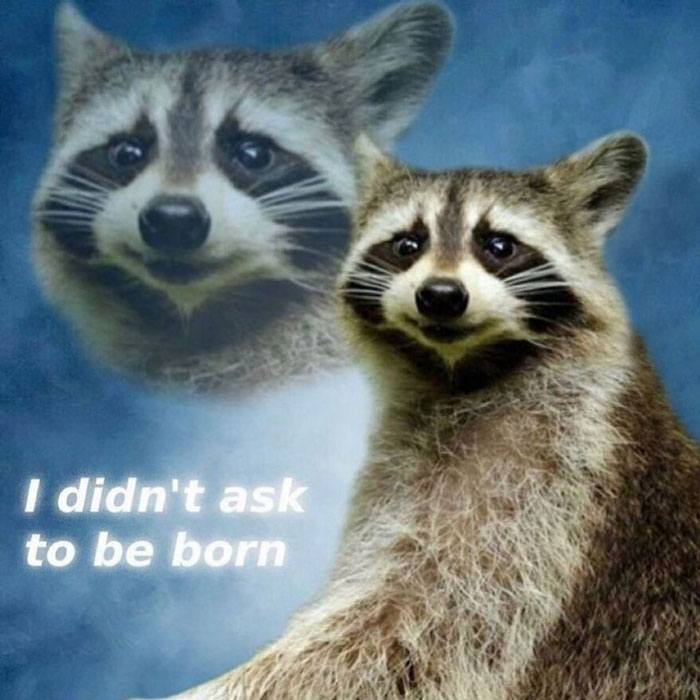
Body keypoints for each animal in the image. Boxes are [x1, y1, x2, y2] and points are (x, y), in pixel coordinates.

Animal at [143, 132, 700, 699]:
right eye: (406, 245)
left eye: (499, 246)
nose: (440, 296)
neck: (456, 374)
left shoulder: (550, 479)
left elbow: (419, 627)